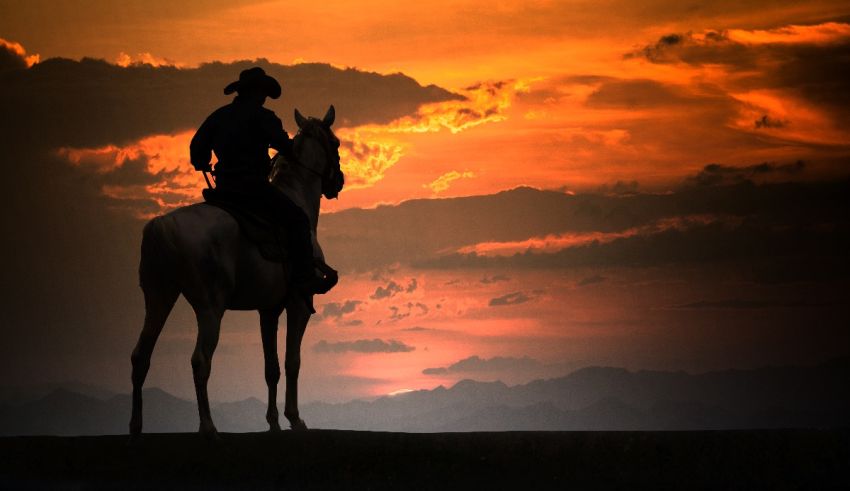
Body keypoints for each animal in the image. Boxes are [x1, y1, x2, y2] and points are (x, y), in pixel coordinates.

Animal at [129, 105, 342, 440]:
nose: (339, 182)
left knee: (141, 356)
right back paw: (208, 427)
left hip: (159, 297)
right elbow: (292, 362)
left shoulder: (268, 310)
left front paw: (272, 423)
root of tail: (163, 226)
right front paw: (295, 419)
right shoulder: (298, 304)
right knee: (200, 361)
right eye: (335, 143)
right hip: (209, 308)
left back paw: (136, 427)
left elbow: (271, 368)